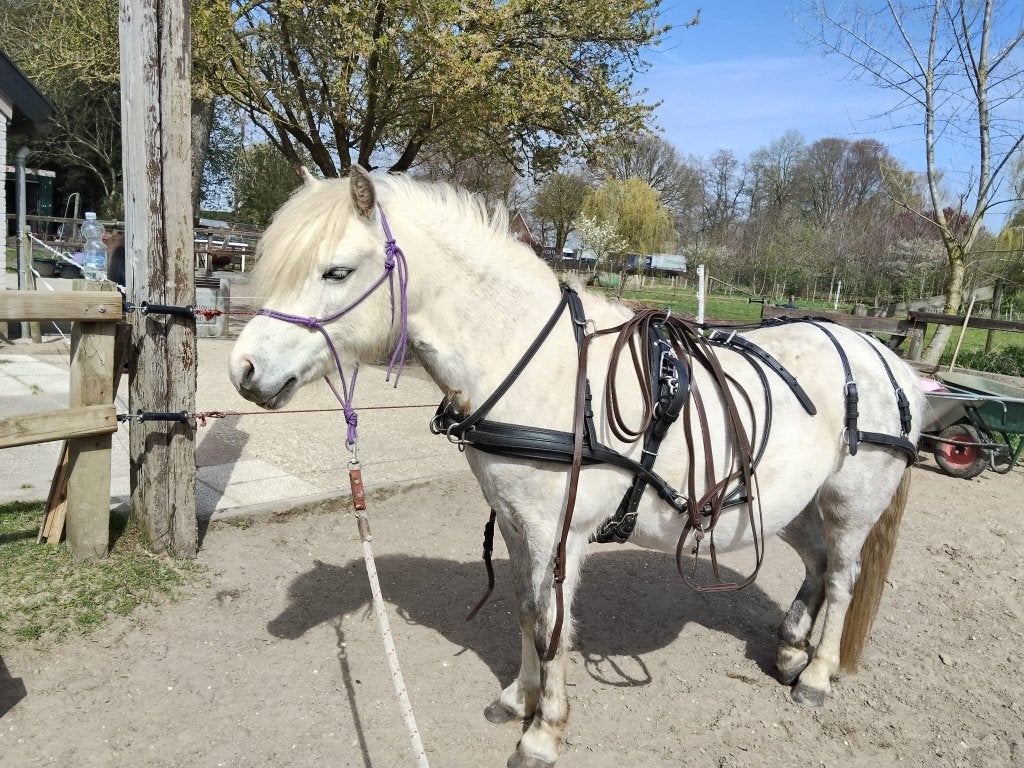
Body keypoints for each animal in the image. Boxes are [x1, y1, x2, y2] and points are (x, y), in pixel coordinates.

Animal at [229, 167, 924, 768]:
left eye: (337, 271)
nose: (243, 371)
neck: (536, 363)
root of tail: (890, 359)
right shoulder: (517, 526)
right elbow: (527, 614)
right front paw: (518, 699)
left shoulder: (556, 534)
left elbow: (554, 627)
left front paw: (545, 732)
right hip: (792, 506)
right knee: (816, 567)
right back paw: (788, 649)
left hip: (849, 507)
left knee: (843, 579)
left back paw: (816, 674)